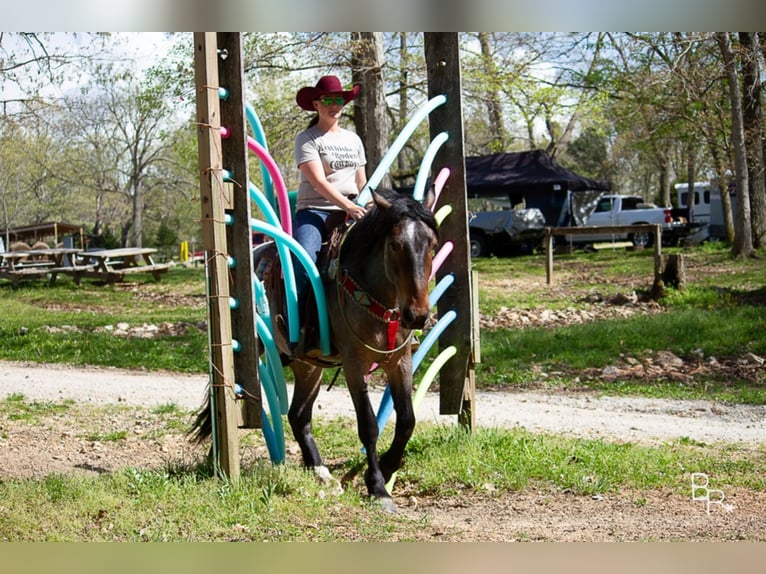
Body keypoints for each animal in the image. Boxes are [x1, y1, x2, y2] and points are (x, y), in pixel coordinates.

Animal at [195, 188, 440, 512]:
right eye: (396, 245)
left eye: (432, 245)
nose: (418, 315)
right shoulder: (354, 363)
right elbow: (368, 425)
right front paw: (377, 487)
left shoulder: (399, 361)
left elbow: (407, 420)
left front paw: (388, 466)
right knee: (224, 399)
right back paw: (219, 461)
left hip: (308, 366)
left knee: (298, 415)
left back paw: (319, 470)